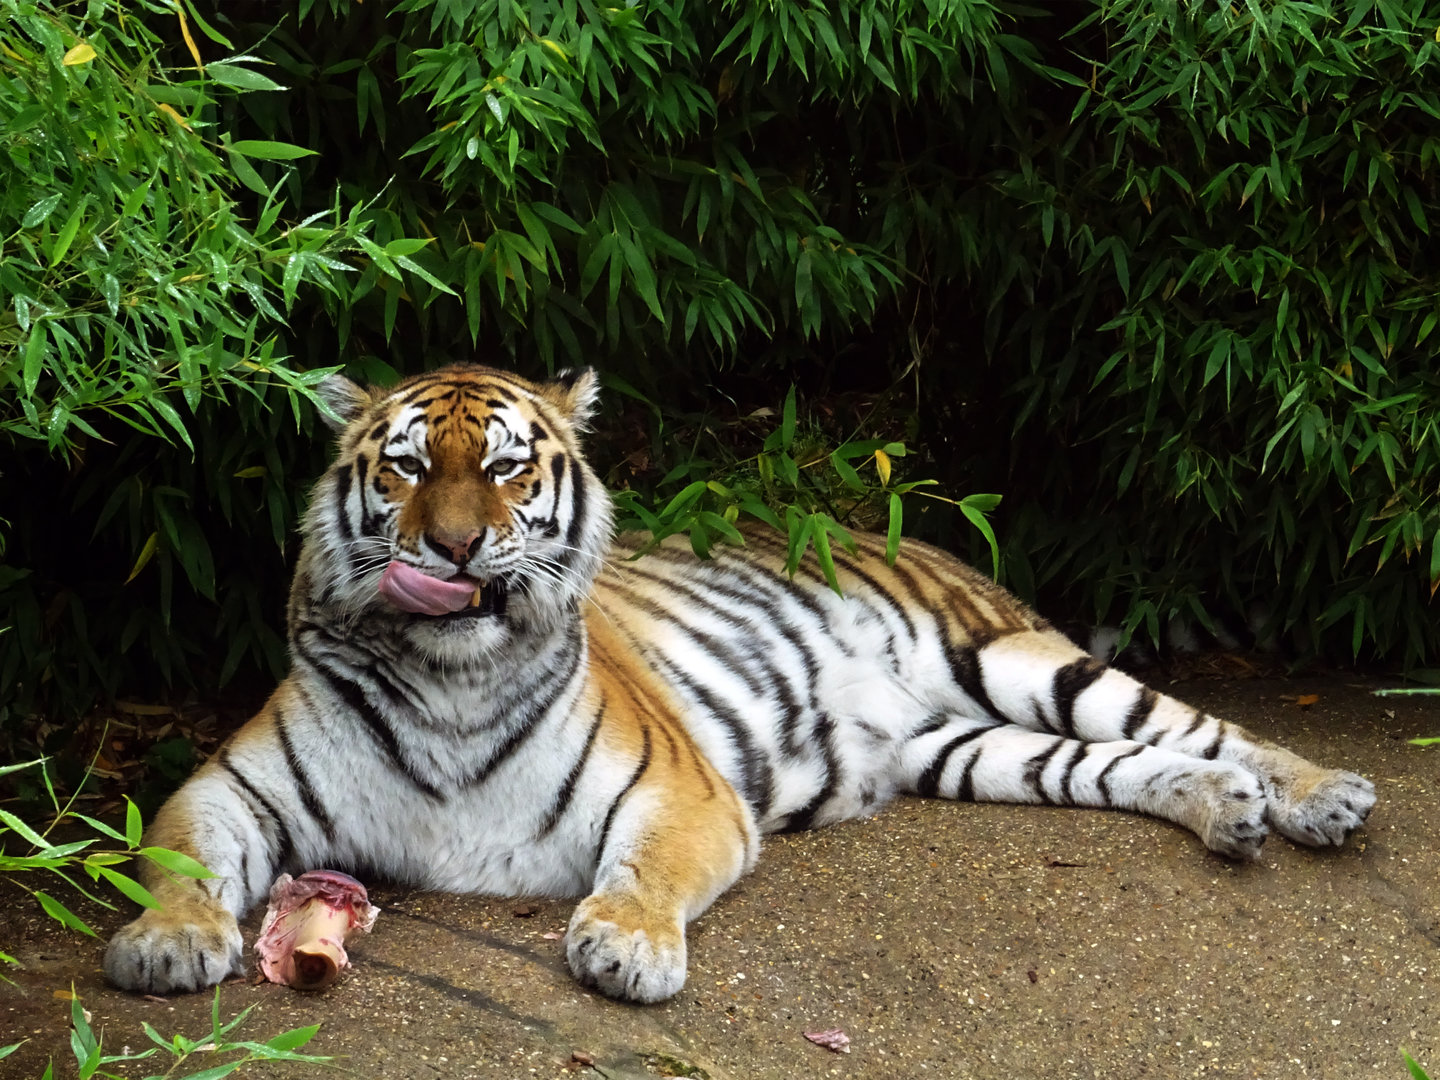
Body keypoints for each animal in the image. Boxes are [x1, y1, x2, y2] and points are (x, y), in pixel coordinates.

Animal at [103, 363, 1376, 1003]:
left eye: (507, 468)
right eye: (410, 467)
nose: (455, 548)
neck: (450, 680)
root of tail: (909, 528)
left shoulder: (679, 791)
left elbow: (644, 871)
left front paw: (626, 948)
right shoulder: (234, 786)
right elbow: (180, 856)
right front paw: (163, 944)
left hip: (1016, 660)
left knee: (1202, 723)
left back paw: (1320, 797)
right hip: (965, 748)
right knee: (1128, 763)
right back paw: (1227, 816)